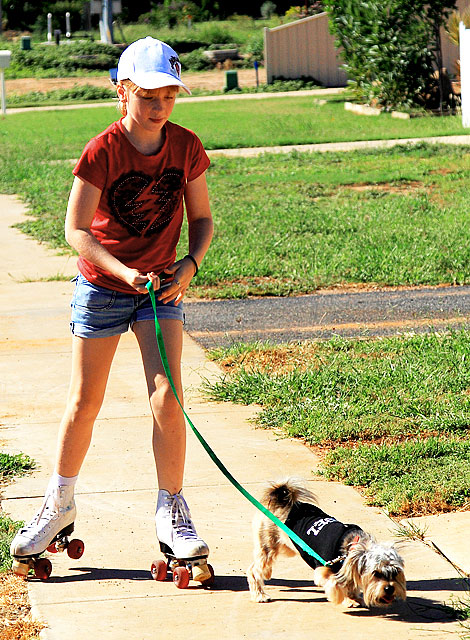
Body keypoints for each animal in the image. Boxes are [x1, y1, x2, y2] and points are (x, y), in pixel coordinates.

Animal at [248, 478, 406, 608]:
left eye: (396, 572)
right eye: (375, 573)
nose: (390, 589)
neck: (352, 547)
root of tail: (282, 499)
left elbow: (351, 582)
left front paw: (353, 597)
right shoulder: (323, 570)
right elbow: (337, 584)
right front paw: (346, 599)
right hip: (268, 546)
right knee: (254, 570)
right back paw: (260, 595)